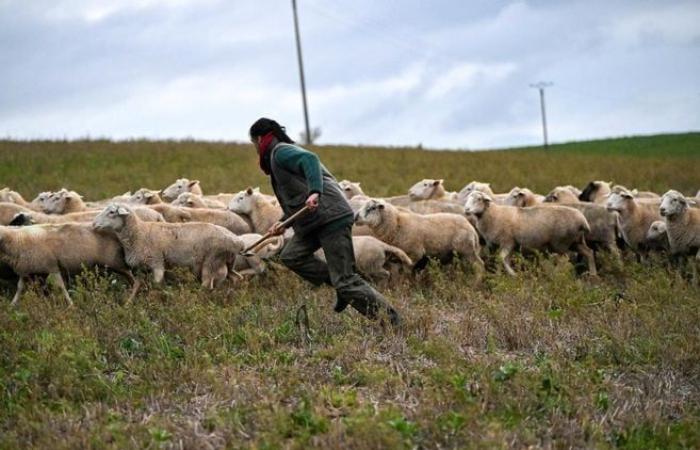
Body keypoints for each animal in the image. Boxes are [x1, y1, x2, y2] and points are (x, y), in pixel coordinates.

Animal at [0, 222, 141, 306]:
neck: (16, 240)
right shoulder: (29, 271)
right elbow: (20, 288)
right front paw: (12, 305)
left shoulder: (52, 267)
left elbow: (60, 287)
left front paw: (70, 304)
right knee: (131, 280)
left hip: (116, 262)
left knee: (136, 281)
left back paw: (129, 301)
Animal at [93, 205, 245, 288]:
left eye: (111, 212)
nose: (94, 223)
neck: (139, 232)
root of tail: (237, 241)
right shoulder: (142, 269)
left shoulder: (157, 263)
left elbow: (156, 286)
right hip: (227, 262)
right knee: (236, 278)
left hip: (211, 261)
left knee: (207, 285)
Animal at [352, 198, 484, 278]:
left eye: (371, 208)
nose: (355, 217)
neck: (396, 224)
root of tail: (470, 226)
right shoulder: (397, 258)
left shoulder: (414, 254)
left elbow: (406, 274)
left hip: (467, 251)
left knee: (479, 266)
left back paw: (475, 283)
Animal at [464, 191, 596, 276]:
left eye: (479, 199)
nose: (466, 209)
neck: (492, 214)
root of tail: (582, 220)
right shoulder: (496, 244)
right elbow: (500, 260)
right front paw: (499, 275)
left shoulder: (507, 242)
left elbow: (502, 258)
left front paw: (513, 274)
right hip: (576, 241)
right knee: (589, 252)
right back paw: (593, 274)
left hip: (560, 243)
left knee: (564, 260)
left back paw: (555, 274)